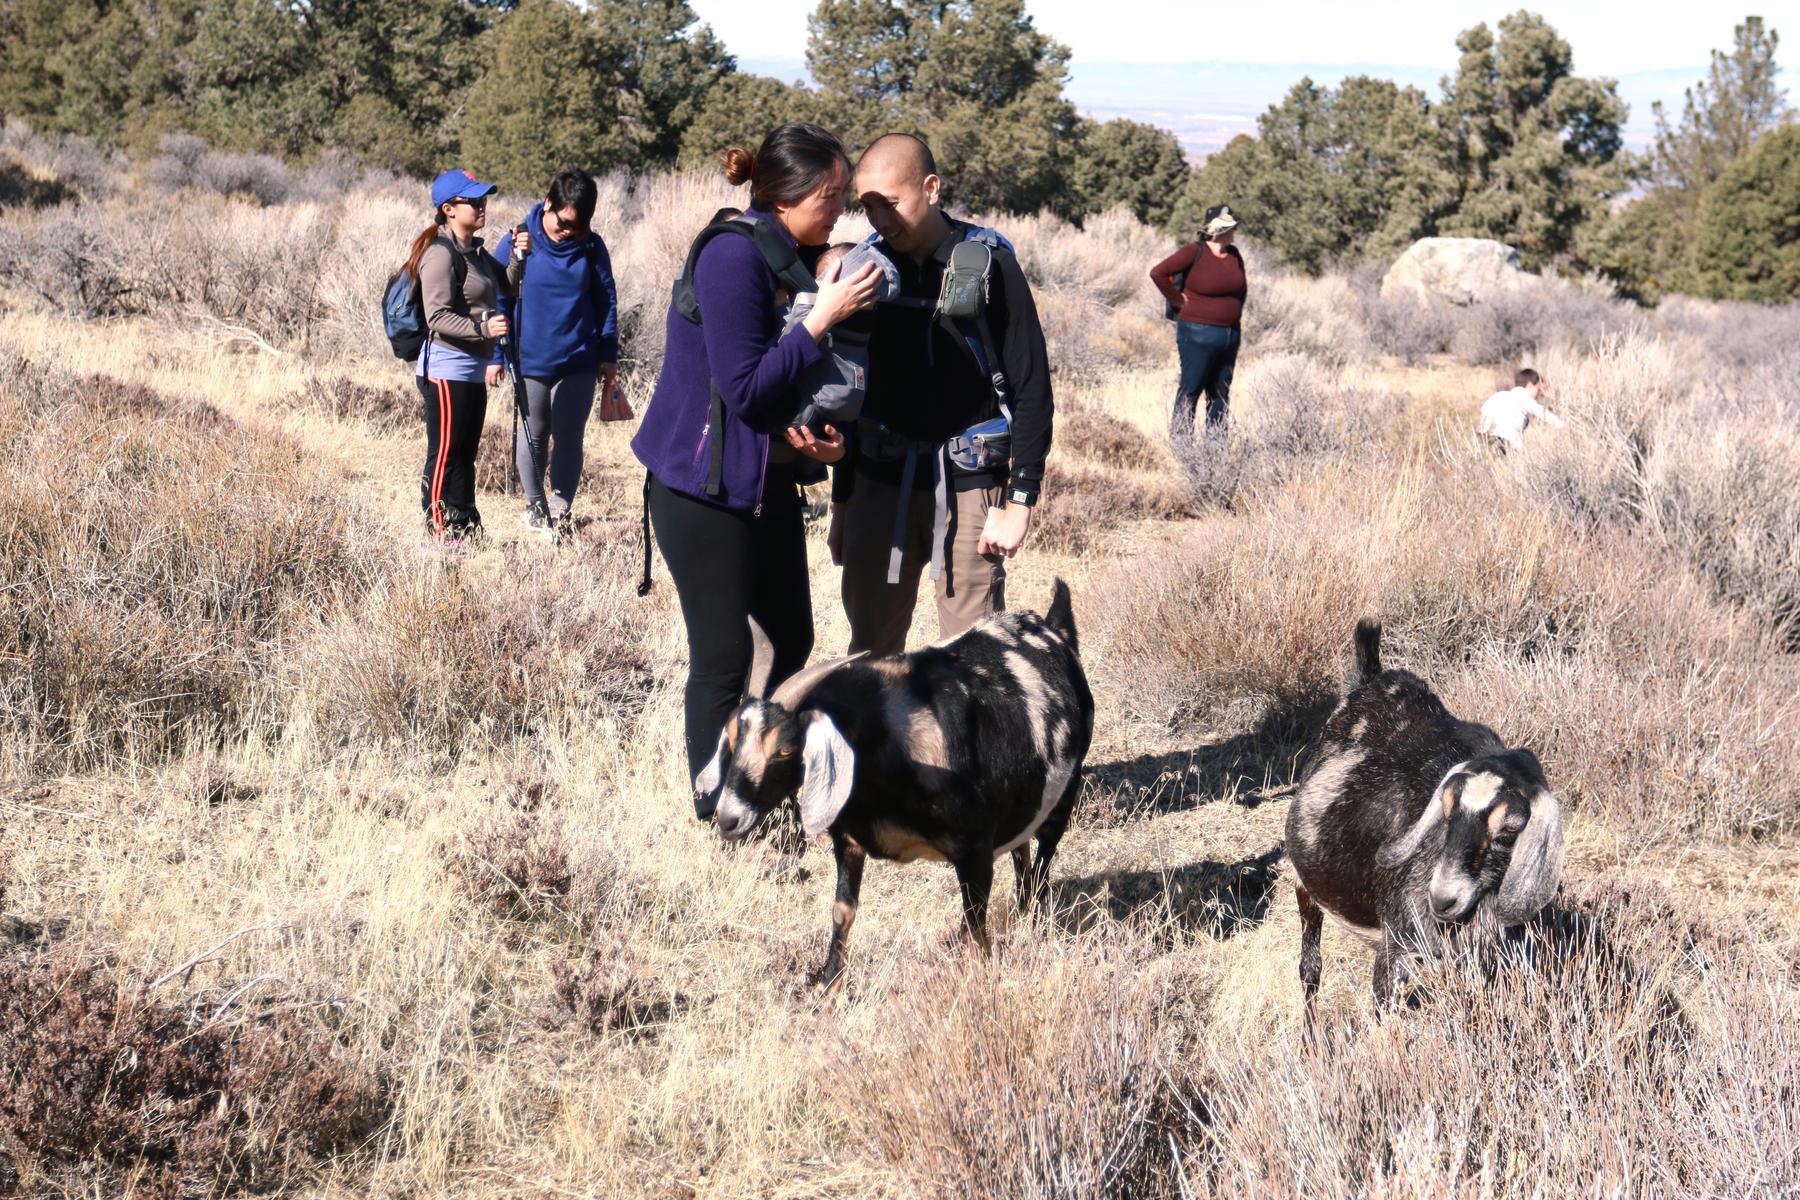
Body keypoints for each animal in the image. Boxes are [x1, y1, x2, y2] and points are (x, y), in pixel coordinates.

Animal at [691, 579, 1087, 985]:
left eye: (786, 749)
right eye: (732, 739)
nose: (727, 818)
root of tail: (1054, 630)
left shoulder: (974, 849)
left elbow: (977, 923)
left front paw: (980, 978)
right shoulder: (848, 840)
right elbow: (843, 911)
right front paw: (829, 984)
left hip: (1064, 791)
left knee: (1044, 854)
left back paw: (1032, 918)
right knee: (1021, 848)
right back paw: (1020, 911)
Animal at [1288, 626, 1569, 1021]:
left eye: (1511, 828)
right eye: (1446, 809)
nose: (1443, 898)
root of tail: (1369, 678)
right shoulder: (1396, 946)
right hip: (1304, 885)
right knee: (1310, 968)